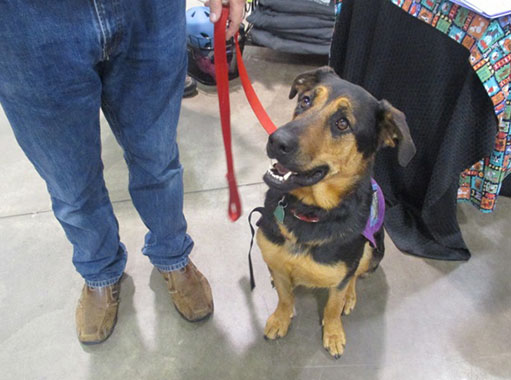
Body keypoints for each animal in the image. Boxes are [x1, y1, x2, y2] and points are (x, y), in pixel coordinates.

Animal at [256, 66, 416, 360]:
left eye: (343, 123)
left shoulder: (342, 273)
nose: (276, 140)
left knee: (354, 276)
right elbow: (285, 296)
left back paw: (350, 297)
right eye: (305, 100)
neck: (310, 211)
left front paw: (333, 333)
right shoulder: (276, 260)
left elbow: (333, 304)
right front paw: (281, 317)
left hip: (373, 250)